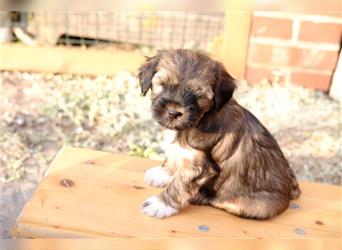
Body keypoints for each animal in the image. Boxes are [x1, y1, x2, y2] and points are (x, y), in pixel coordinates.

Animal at [138, 49, 300, 220]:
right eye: (163, 85)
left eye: (199, 96)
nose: (174, 113)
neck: (201, 119)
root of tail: (291, 192)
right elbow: (174, 157)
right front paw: (163, 174)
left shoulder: (200, 166)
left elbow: (179, 183)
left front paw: (160, 204)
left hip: (251, 205)